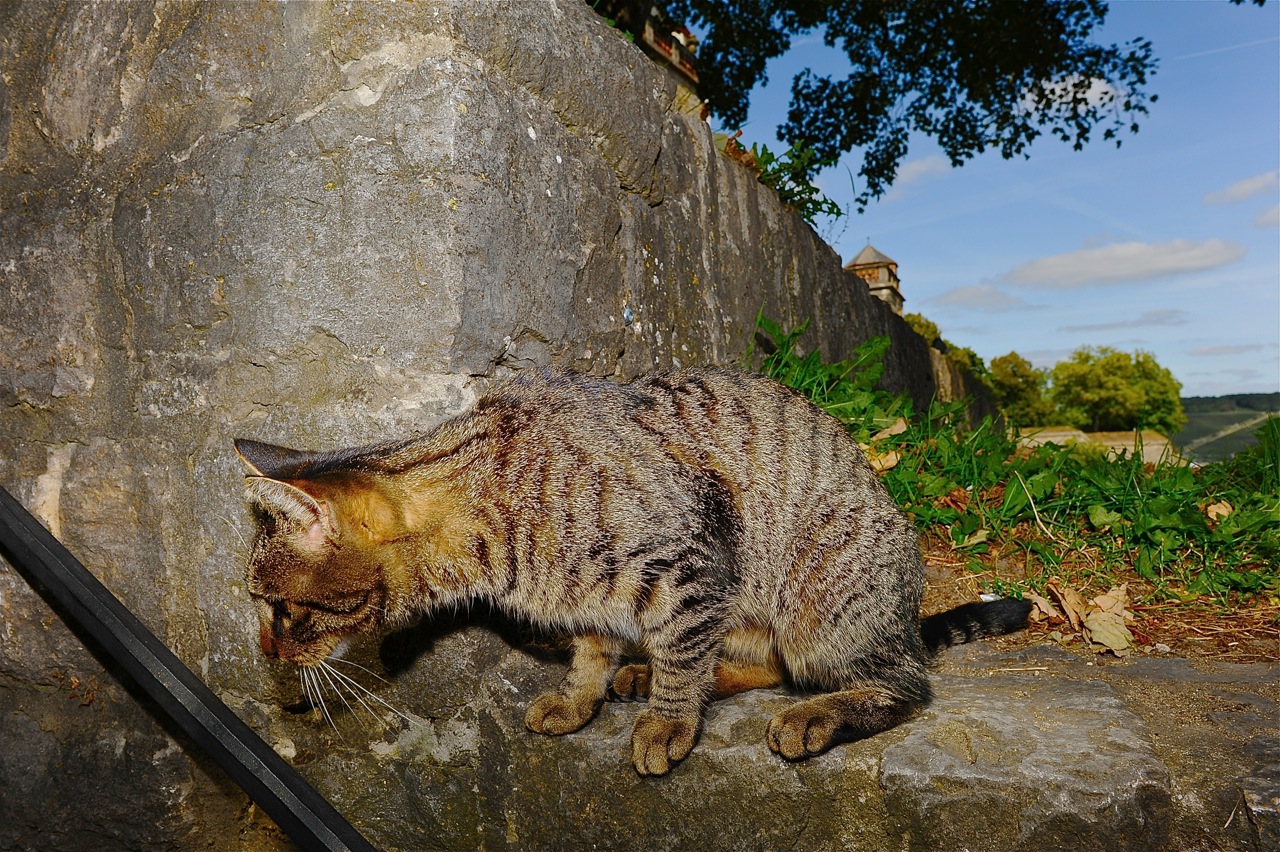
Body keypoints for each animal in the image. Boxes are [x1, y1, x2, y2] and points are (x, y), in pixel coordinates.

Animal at [235, 365, 1024, 767]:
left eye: (281, 609)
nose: (267, 649)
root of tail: (908, 615)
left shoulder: (688, 564)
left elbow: (680, 654)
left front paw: (668, 723)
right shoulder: (594, 598)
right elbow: (593, 652)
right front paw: (583, 696)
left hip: (822, 602)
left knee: (900, 684)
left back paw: (812, 714)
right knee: (764, 662)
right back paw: (654, 676)